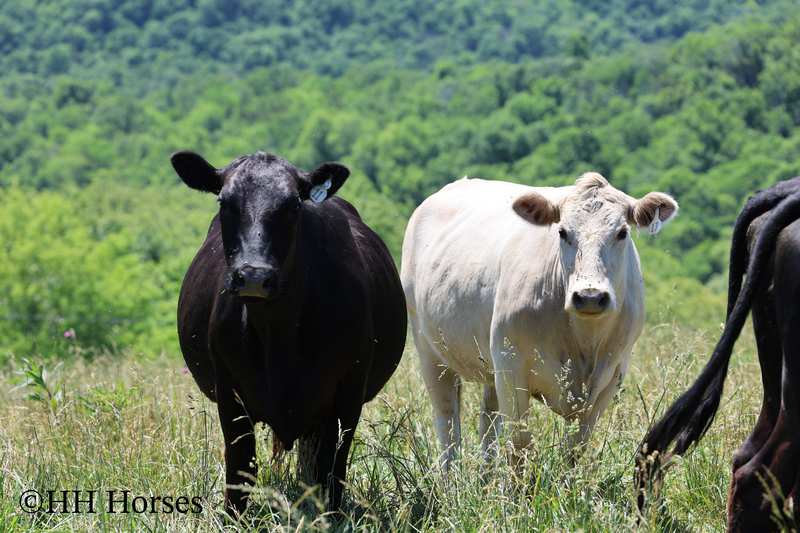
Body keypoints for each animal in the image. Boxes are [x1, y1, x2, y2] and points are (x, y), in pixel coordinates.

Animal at [171, 150, 407, 516]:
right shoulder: (228, 389)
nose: (254, 277)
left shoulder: (349, 391)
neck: (277, 334)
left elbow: (331, 468)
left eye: (294, 205)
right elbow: (240, 467)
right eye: (224, 203)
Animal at [400, 173, 679, 470]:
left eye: (622, 233)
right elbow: (519, 445)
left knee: (488, 417)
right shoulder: (512, 367)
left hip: (490, 360)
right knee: (448, 420)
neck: (585, 342)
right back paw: (451, 478)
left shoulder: (612, 375)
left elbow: (575, 451)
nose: (590, 296)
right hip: (429, 349)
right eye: (562, 232)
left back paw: (486, 477)